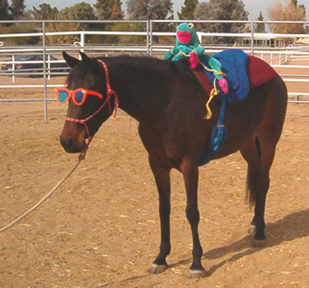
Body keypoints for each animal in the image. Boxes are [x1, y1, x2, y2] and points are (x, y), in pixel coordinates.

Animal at [57, 51, 286, 276]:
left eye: (85, 94)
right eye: (67, 92)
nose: (67, 141)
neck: (165, 106)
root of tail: (275, 76)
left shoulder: (189, 165)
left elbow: (191, 212)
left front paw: (196, 263)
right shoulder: (157, 165)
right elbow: (163, 209)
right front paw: (161, 258)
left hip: (268, 140)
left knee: (263, 182)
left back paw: (260, 234)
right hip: (247, 144)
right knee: (256, 178)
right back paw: (255, 224)